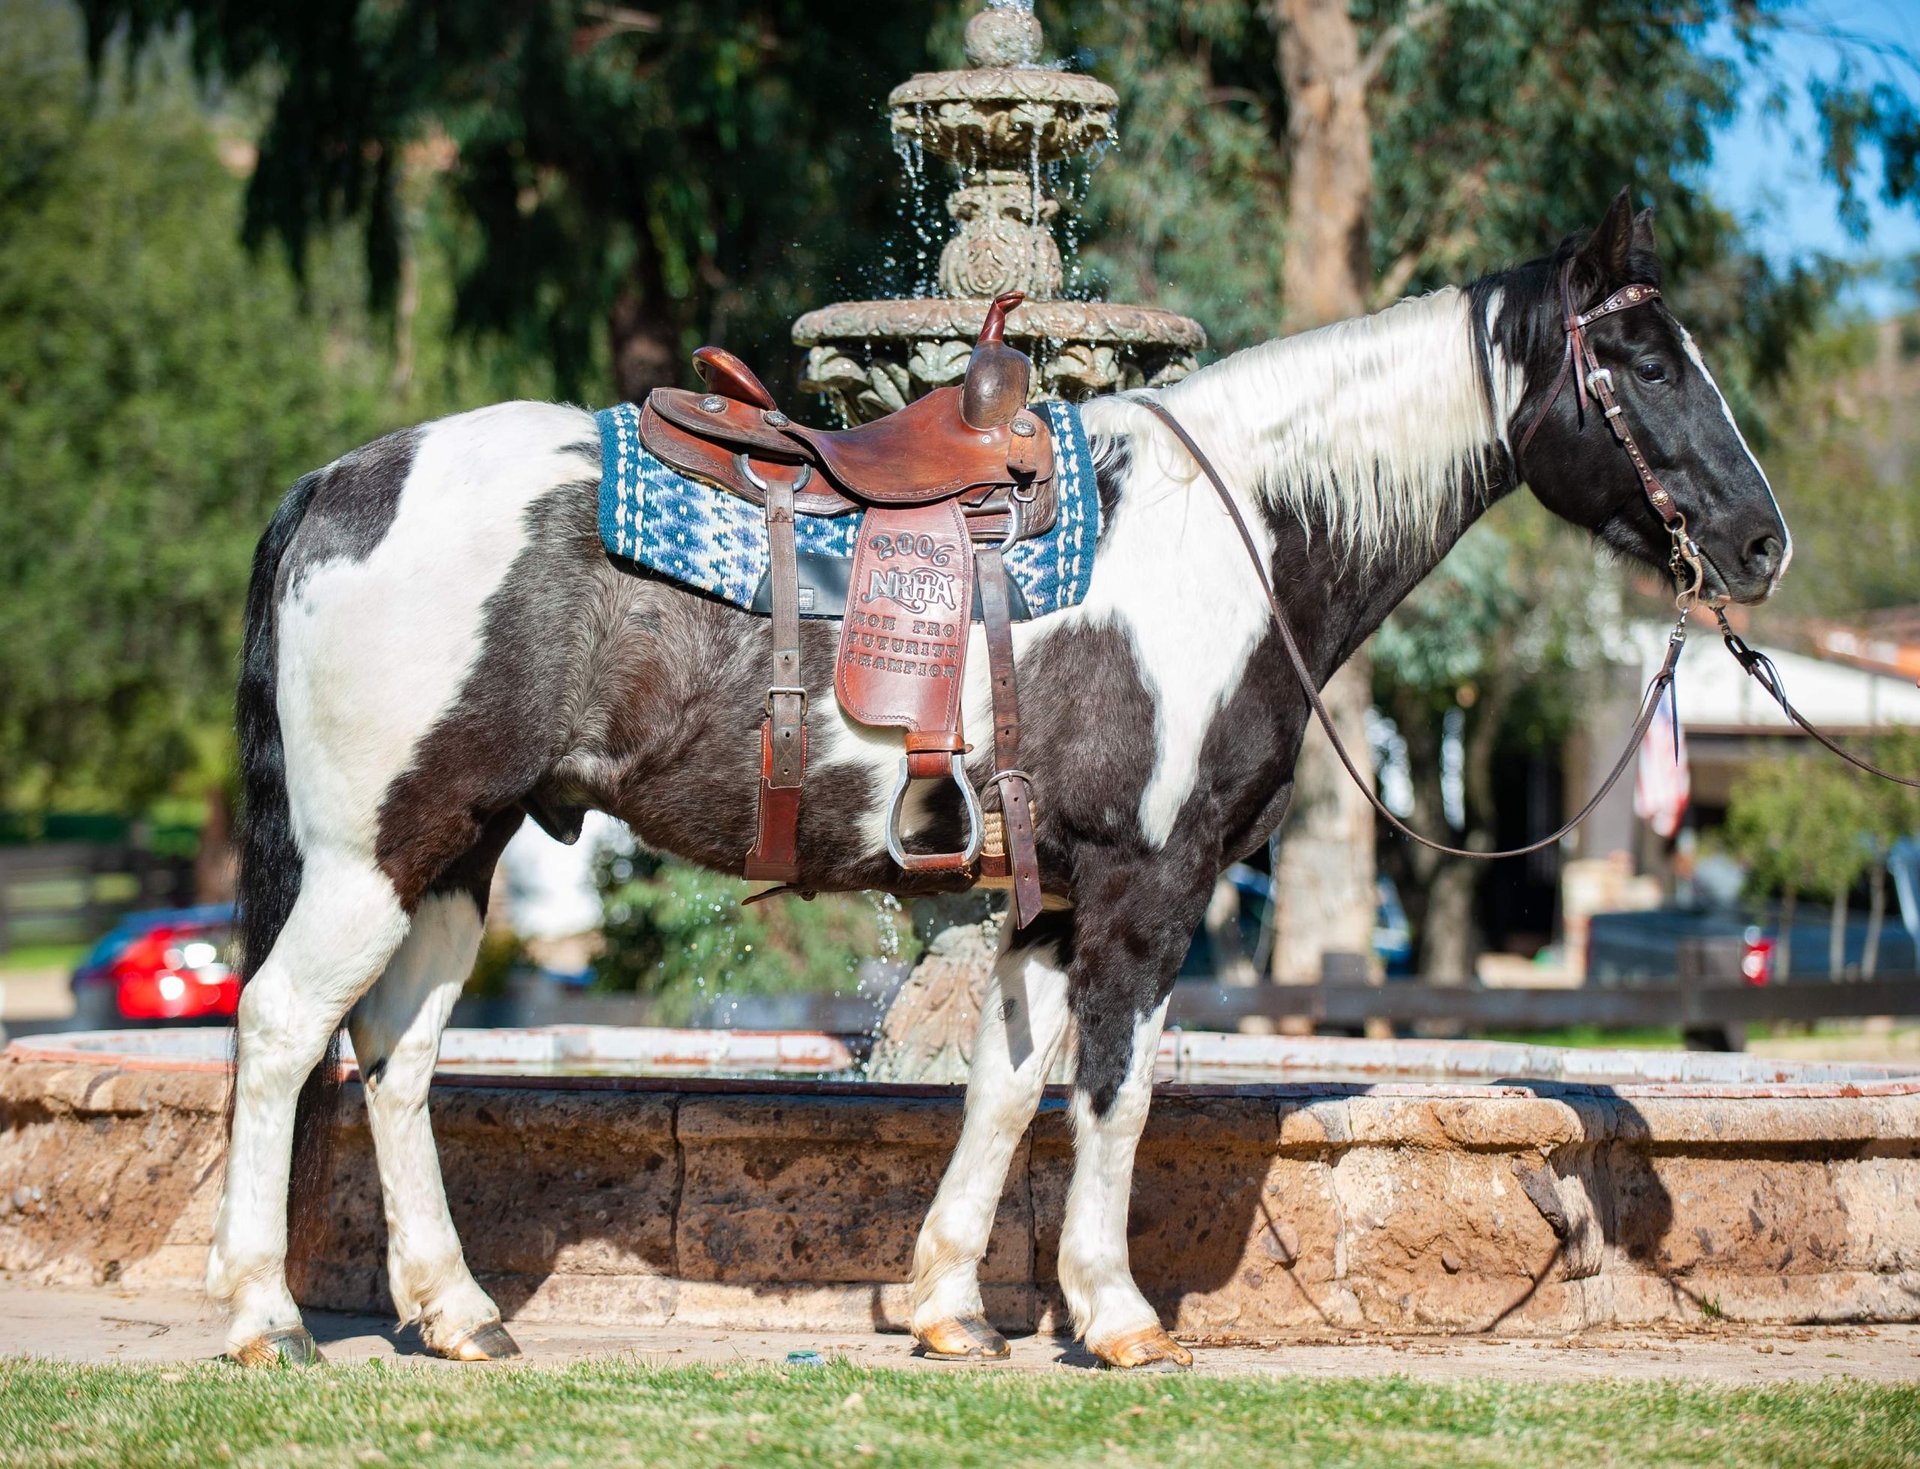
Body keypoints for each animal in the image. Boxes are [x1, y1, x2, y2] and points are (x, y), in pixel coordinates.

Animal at [210, 192, 1781, 1367]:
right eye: (1647, 364)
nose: (1760, 544)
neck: (1235, 535)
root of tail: (340, 484)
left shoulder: (1048, 900)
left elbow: (1006, 1090)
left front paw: (951, 1306)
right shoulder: (1150, 890)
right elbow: (1115, 1095)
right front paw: (1118, 1315)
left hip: (455, 855)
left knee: (398, 1054)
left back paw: (455, 1311)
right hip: (373, 856)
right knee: (284, 1027)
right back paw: (264, 1316)